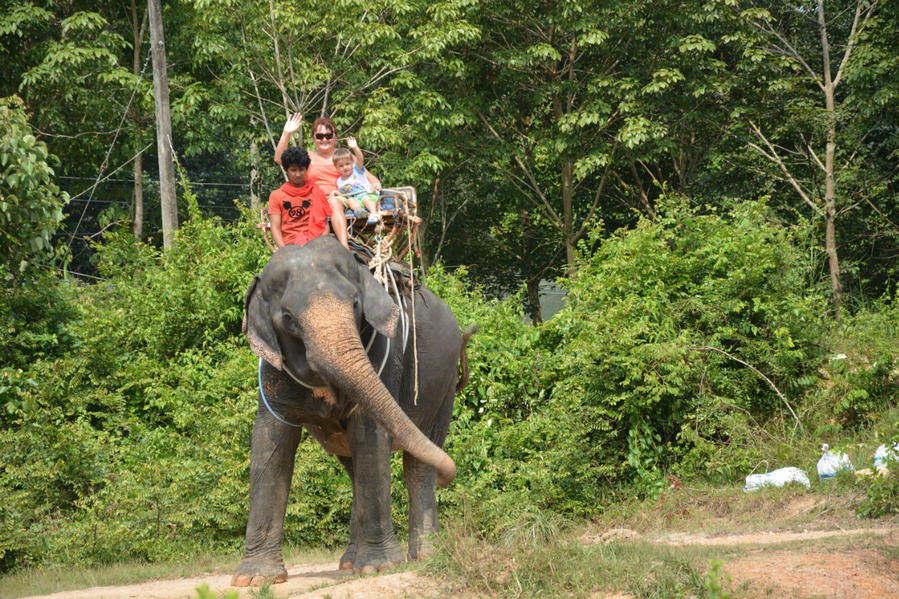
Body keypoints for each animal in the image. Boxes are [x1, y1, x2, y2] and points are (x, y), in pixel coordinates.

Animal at [230, 236, 478, 584]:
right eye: (288, 318)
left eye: (356, 305)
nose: (449, 478)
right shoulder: (271, 370)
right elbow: (270, 443)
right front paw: (253, 579)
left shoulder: (384, 353)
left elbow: (370, 434)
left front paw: (379, 567)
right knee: (355, 466)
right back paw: (349, 563)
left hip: (442, 386)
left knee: (417, 465)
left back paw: (424, 555)